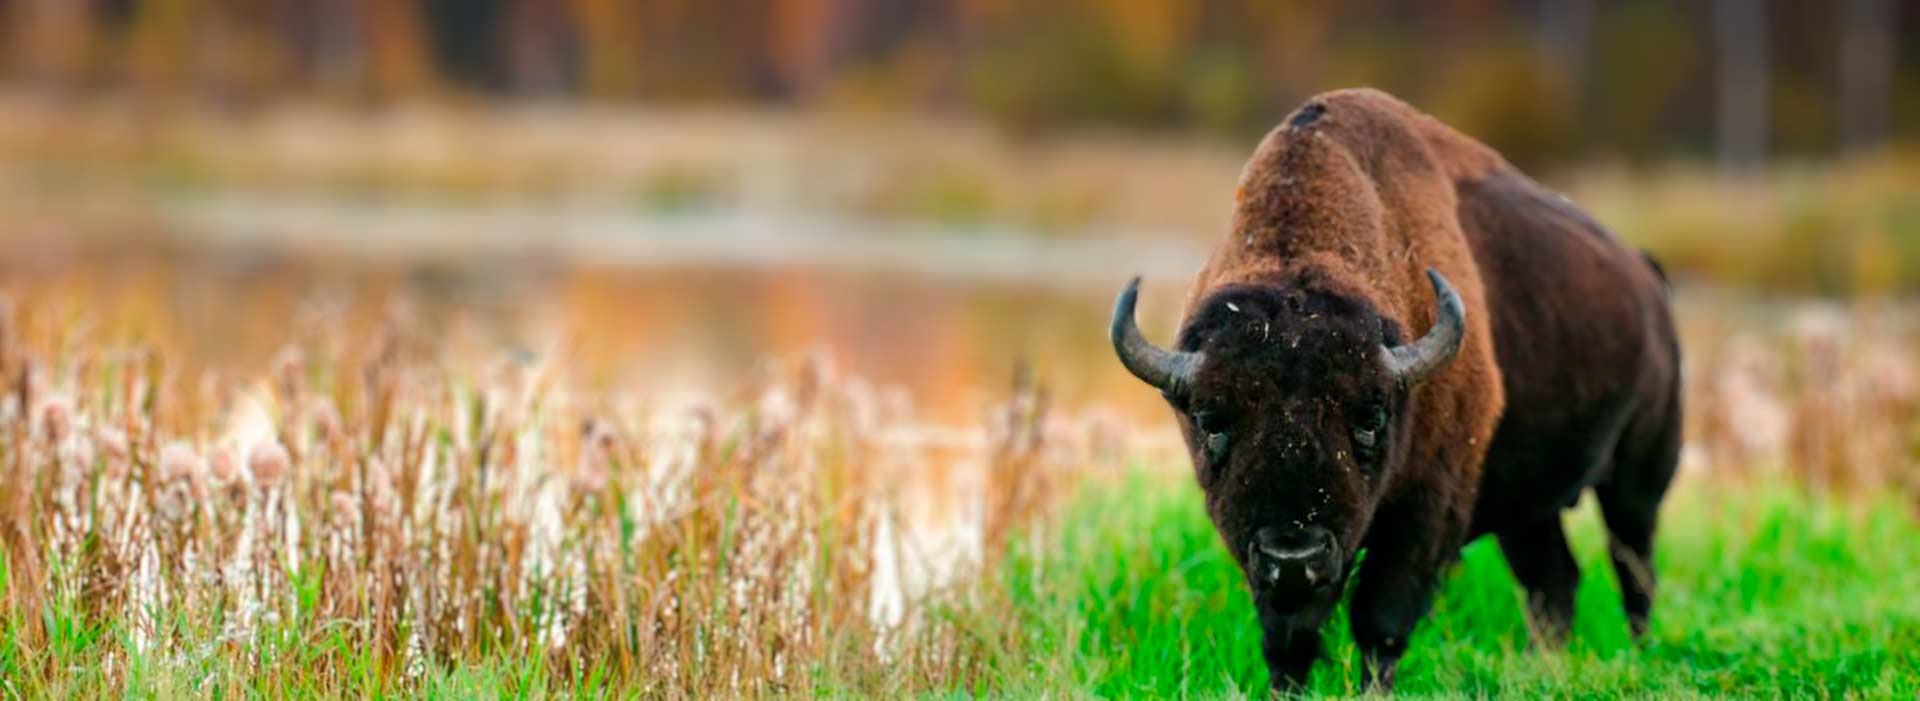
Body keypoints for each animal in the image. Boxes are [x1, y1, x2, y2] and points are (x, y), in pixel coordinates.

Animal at [1110, 88, 1681, 692]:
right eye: (1211, 420)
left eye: (1371, 417)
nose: (1294, 556)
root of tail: (1647, 277)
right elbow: (1288, 636)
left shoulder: (1424, 513)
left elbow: (1380, 619)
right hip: (1529, 508)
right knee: (1555, 578)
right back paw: (1541, 663)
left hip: (1639, 476)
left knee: (1633, 565)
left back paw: (1637, 649)